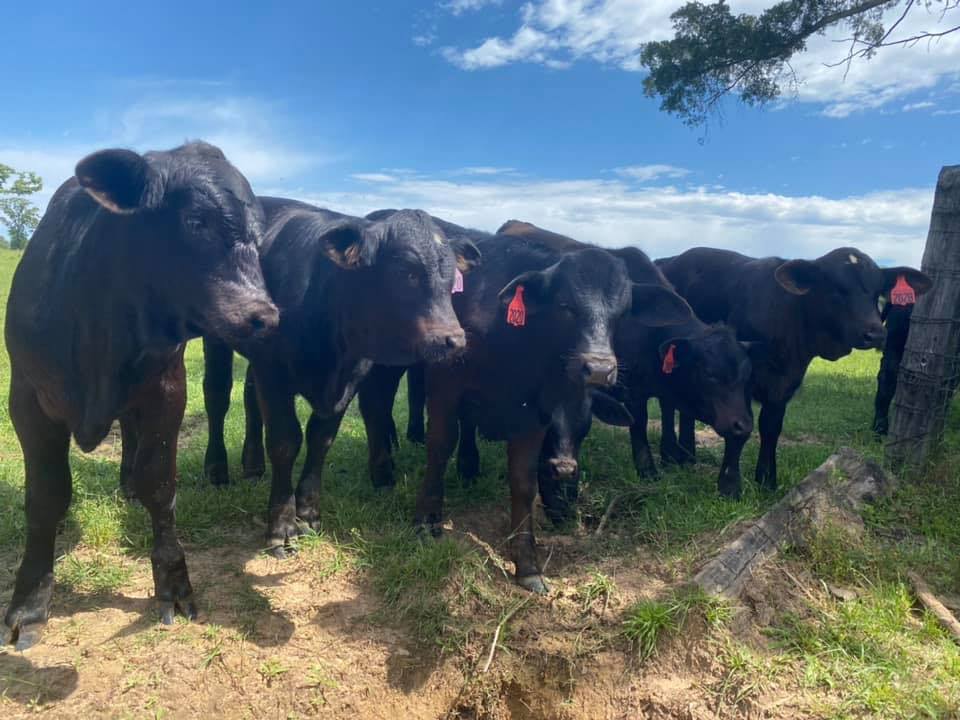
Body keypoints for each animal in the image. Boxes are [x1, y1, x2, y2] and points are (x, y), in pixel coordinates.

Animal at [3, 142, 280, 650]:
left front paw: (173, 584)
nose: (264, 316)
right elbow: (46, 496)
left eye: (257, 235)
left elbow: (160, 484)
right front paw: (29, 605)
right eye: (195, 221)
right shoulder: (28, 399)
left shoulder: (166, 389)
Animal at [200, 198, 479, 557]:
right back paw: (217, 470)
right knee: (217, 396)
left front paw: (308, 513)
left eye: (450, 279)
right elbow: (285, 440)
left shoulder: (350, 377)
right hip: (217, 338)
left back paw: (253, 466)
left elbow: (321, 438)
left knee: (249, 397)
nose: (454, 339)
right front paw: (281, 527)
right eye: (406, 271)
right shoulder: (273, 371)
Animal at [658, 247, 931, 498]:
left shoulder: (785, 384)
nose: (875, 333)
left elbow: (771, 427)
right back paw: (670, 455)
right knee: (668, 404)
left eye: (877, 293)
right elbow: (739, 429)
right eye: (837, 289)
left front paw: (766, 479)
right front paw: (730, 486)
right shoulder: (738, 384)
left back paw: (688, 454)